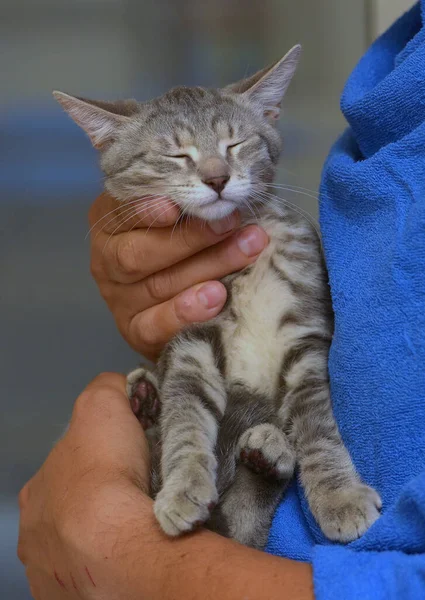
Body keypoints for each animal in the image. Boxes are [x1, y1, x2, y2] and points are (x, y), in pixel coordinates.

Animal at [53, 44, 380, 552]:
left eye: (235, 144)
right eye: (176, 154)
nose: (217, 178)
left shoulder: (307, 338)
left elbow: (318, 423)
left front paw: (338, 495)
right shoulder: (192, 337)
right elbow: (186, 419)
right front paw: (183, 486)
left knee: (246, 519)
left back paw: (267, 454)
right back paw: (147, 400)